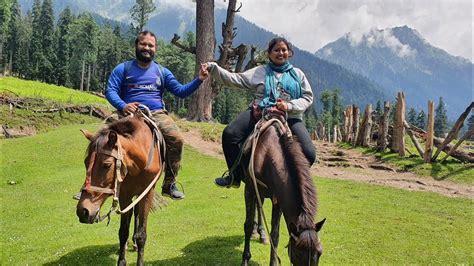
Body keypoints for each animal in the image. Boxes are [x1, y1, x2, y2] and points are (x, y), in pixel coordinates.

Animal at [75, 115, 162, 266]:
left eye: (106, 165)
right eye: (86, 163)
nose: (83, 211)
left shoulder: (147, 193)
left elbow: (142, 234)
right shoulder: (124, 194)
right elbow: (123, 232)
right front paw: (122, 259)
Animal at [241, 115, 326, 266]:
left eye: (320, 252)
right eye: (298, 254)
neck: (267, 154)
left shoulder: (279, 200)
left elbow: (275, 235)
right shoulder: (250, 189)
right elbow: (248, 225)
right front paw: (245, 259)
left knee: (259, 205)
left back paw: (261, 233)